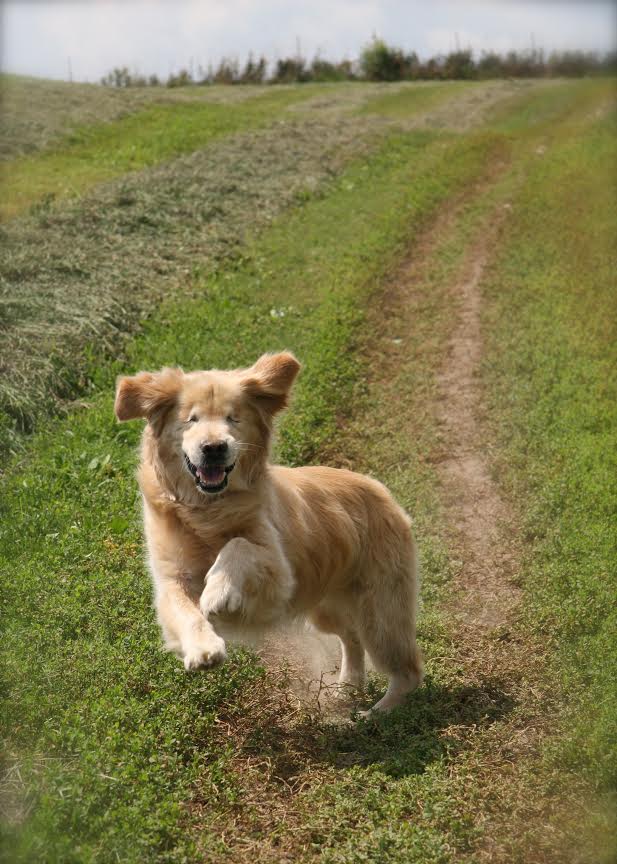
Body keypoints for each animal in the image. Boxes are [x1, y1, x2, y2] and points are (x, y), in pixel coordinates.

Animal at [114, 352, 424, 716]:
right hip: (325, 607)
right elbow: (186, 612)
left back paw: (381, 711)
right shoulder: (171, 578)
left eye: (233, 418)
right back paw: (346, 690)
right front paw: (203, 649)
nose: (214, 448)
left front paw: (218, 592)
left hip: (380, 611)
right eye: (191, 419)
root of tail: (382, 491)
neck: (207, 509)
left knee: (406, 669)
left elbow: (239, 546)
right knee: (351, 637)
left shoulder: (280, 577)